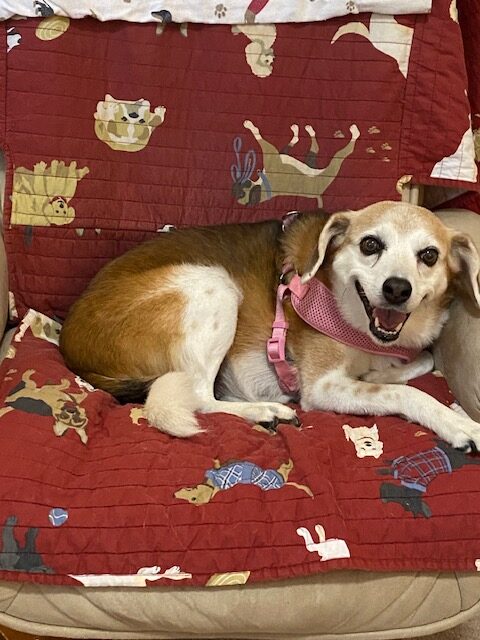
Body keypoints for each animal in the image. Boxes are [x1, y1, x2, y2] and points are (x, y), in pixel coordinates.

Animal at [60, 201, 480, 450]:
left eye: (429, 255)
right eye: (370, 245)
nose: (396, 289)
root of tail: (70, 344)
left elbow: (422, 361)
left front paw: (382, 371)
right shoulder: (323, 388)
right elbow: (407, 394)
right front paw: (459, 424)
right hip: (213, 284)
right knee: (199, 396)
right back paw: (265, 410)